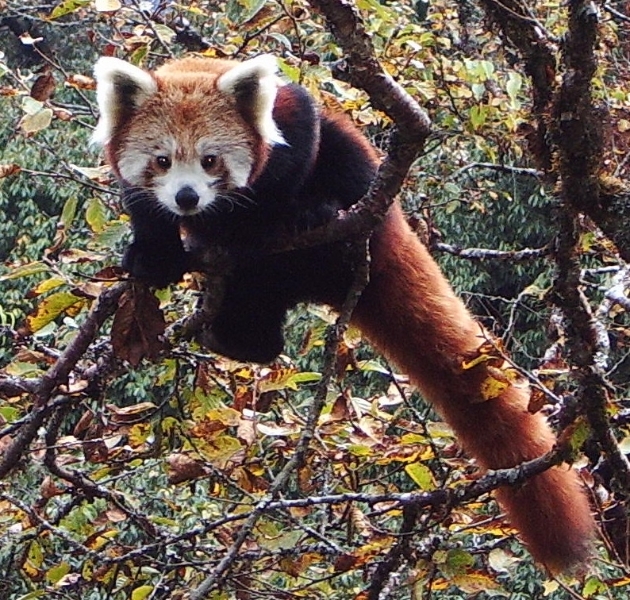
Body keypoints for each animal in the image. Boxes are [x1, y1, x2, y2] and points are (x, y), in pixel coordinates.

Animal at [92, 55, 596, 572]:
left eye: (211, 160)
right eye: (162, 161)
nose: (187, 197)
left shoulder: (291, 117)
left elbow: (298, 148)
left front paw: (265, 218)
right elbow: (144, 211)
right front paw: (153, 254)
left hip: (364, 197)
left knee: (338, 166)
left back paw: (314, 219)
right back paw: (237, 336)